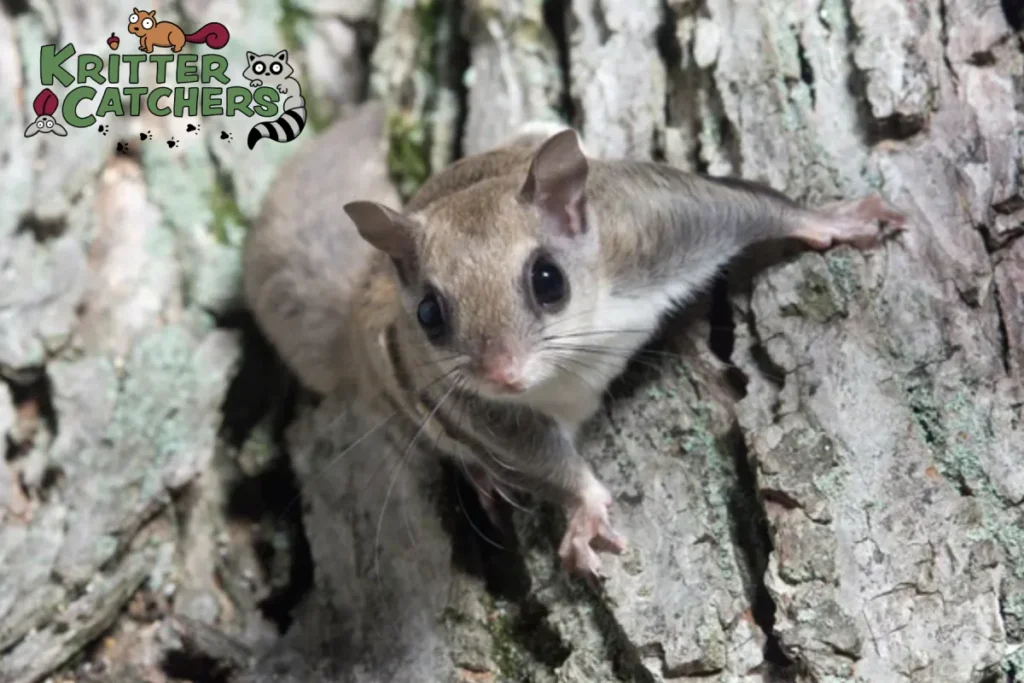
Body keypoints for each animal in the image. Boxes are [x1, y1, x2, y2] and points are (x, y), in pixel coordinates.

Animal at [243, 105, 908, 578]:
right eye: (429, 314)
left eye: (548, 280)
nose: (505, 374)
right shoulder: (466, 400)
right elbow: (535, 455)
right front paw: (584, 510)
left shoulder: (653, 225)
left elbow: (747, 206)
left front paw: (835, 220)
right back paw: (482, 478)